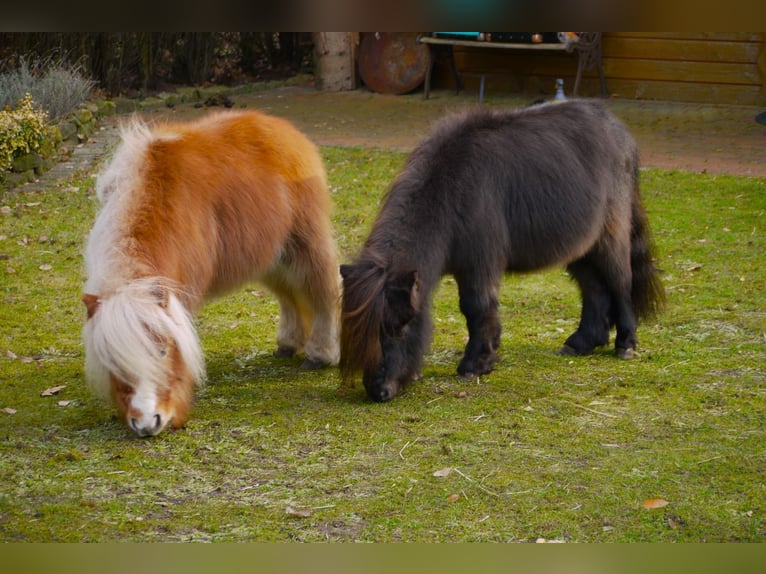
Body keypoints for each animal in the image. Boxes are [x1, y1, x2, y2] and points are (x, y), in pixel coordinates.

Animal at [82, 111, 342, 436]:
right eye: (113, 361)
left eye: (163, 351)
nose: (147, 422)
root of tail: (283, 128)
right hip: (271, 258)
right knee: (289, 297)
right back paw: (288, 344)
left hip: (305, 247)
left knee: (324, 291)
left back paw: (321, 353)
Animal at [342, 99, 664, 402]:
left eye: (400, 326)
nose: (378, 390)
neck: (451, 190)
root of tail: (620, 132)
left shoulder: (479, 264)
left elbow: (476, 307)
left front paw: (475, 364)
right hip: (579, 248)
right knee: (594, 288)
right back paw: (581, 342)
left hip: (609, 237)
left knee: (620, 282)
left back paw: (626, 344)